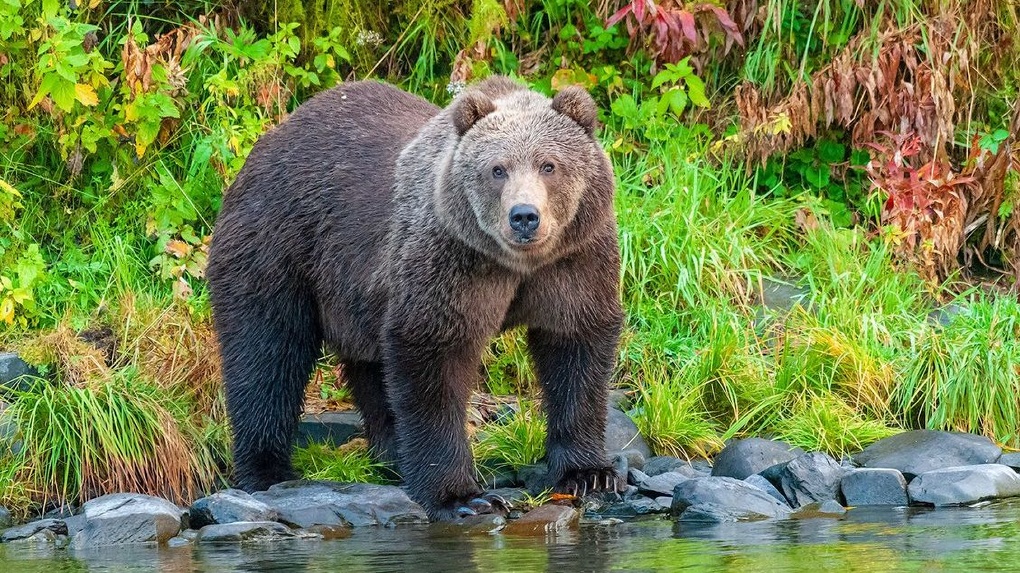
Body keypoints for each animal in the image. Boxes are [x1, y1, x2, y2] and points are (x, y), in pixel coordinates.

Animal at [205, 74, 620, 517]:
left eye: (548, 165)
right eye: (497, 169)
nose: (524, 216)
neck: (516, 264)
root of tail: (267, 143)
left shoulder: (574, 258)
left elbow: (575, 345)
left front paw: (588, 473)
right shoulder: (450, 257)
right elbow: (432, 355)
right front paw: (461, 496)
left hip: (357, 292)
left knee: (370, 369)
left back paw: (390, 455)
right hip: (277, 248)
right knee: (267, 354)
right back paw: (267, 471)